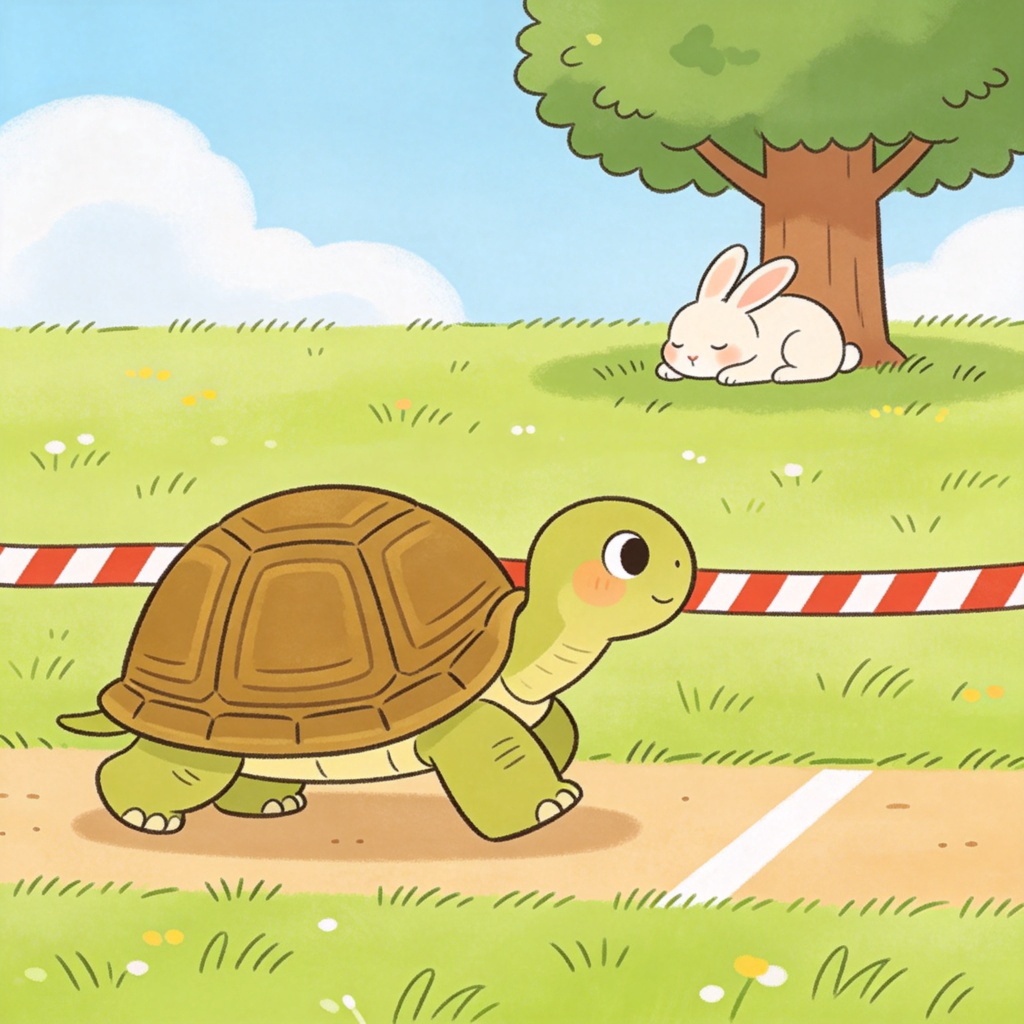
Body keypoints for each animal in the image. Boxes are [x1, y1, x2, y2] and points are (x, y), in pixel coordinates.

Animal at [656, 244, 861, 385]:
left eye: (719, 346)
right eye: (676, 344)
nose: (692, 357)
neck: (754, 337)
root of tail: (841, 352)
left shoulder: (765, 360)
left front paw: (730, 376)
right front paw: (667, 371)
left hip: (797, 343)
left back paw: (785, 374)